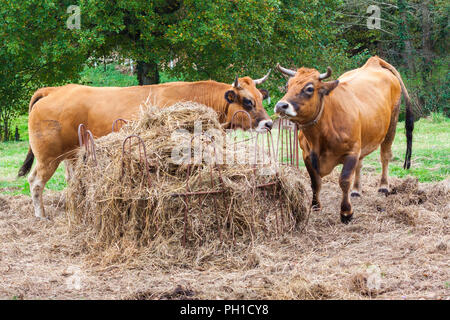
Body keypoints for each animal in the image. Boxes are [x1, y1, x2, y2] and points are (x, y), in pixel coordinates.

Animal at [17, 72, 272, 218]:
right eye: (248, 101)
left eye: (261, 97)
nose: (269, 123)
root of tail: (56, 90)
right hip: (48, 157)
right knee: (35, 182)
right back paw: (41, 215)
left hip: (70, 156)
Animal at [272, 56, 414, 222]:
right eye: (287, 86)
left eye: (309, 88)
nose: (281, 105)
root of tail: (374, 62)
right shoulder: (306, 155)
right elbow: (315, 182)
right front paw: (315, 205)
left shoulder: (351, 152)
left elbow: (344, 180)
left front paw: (346, 212)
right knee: (360, 163)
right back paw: (356, 190)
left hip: (392, 124)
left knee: (385, 155)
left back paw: (383, 186)